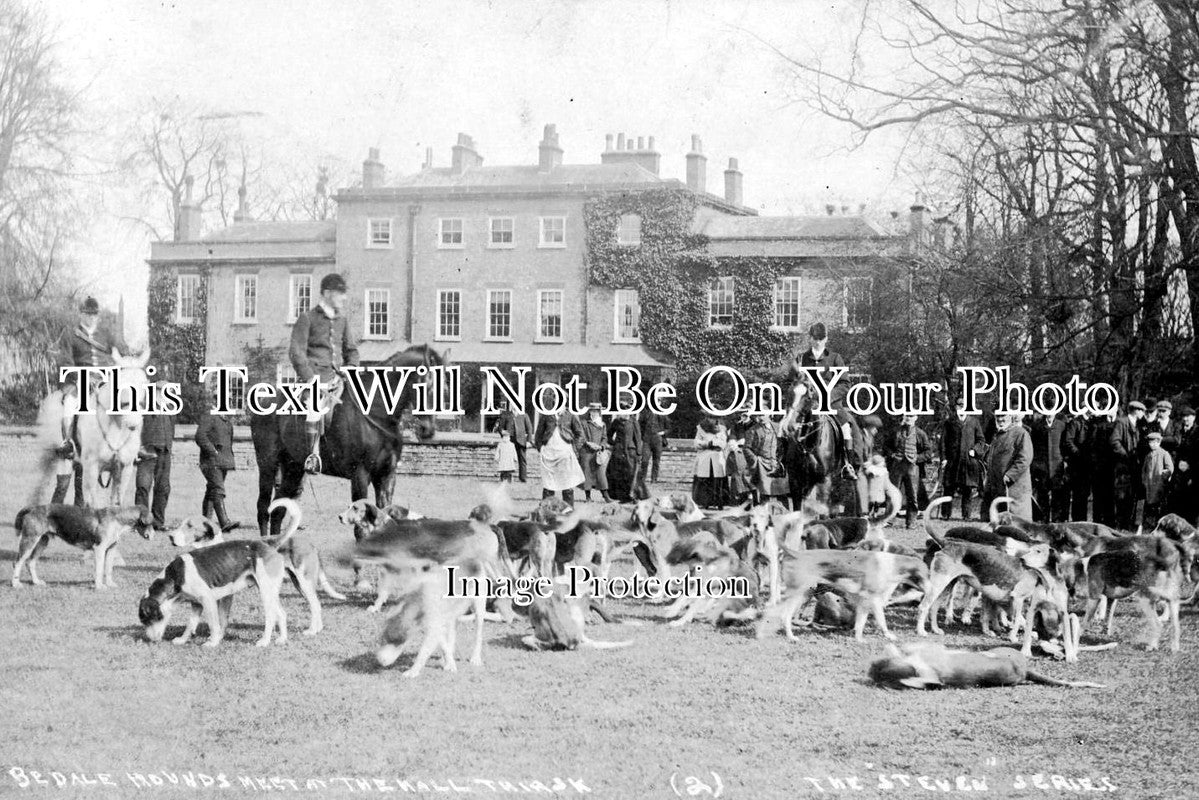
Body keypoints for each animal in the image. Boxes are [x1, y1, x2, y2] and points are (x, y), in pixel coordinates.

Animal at [36, 347, 151, 506]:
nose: (133, 422)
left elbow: (115, 504)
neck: (115, 427)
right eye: (120, 384)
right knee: (55, 486)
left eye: (145, 383)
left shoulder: (124, 469)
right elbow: (94, 504)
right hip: (55, 457)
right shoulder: (92, 468)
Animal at [249, 345, 446, 544]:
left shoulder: (387, 475)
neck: (376, 412)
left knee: (278, 509)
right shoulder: (360, 474)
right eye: (426, 385)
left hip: (293, 469)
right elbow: (360, 527)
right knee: (263, 507)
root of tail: (265, 398)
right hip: (268, 464)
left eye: (445, 385)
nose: (427, 430)